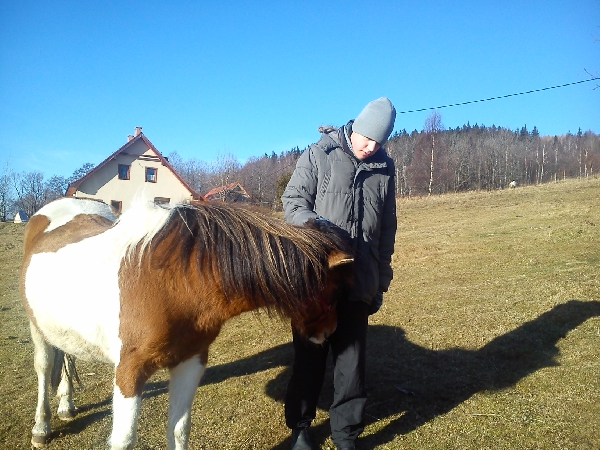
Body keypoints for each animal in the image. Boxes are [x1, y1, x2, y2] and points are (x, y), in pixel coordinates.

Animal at [19, 197, 354, 449]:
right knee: (44, 366)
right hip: (37, 329)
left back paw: (66, 405)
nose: (328, 332)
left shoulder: (189, 362)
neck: (174, 281)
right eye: (335, 290)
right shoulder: (129, 372)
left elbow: (179, 430)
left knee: (67, 355)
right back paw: (41, 427)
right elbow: (123, 440)